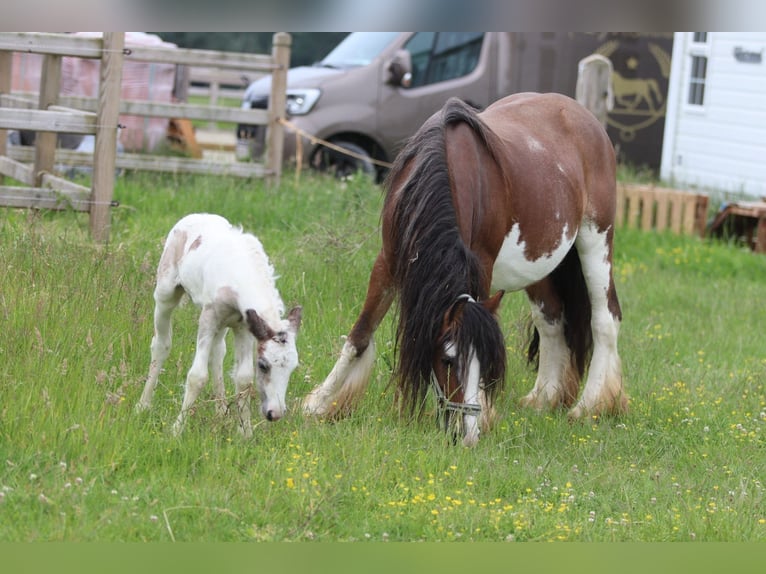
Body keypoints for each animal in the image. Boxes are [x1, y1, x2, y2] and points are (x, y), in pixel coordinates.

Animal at [136, 213, 302, 437]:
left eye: (293, 367)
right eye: (263, 365)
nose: (274, 413)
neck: (239, 275)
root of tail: (195, 215)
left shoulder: (244, 326)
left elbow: (243, 378)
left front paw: (245, 433)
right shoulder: (209, 317)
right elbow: (197, 376)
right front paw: (176, 430)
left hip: (224, 323)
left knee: (217, 352)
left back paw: (221, 410)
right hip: (166, 293)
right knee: (161, 344)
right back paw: (143, 405)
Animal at [302, 92, 627, 446]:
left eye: (484, 362)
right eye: (447, 360)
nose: (467, 435)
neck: (447, 168)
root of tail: (585, 118)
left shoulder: (481, 265)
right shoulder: (388, 261)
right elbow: (360, 334)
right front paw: (320, 404)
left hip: (596, 238)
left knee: (605, 318)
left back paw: (590, 405)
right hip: (540, 262)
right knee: (551, 320)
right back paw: (544, 398)